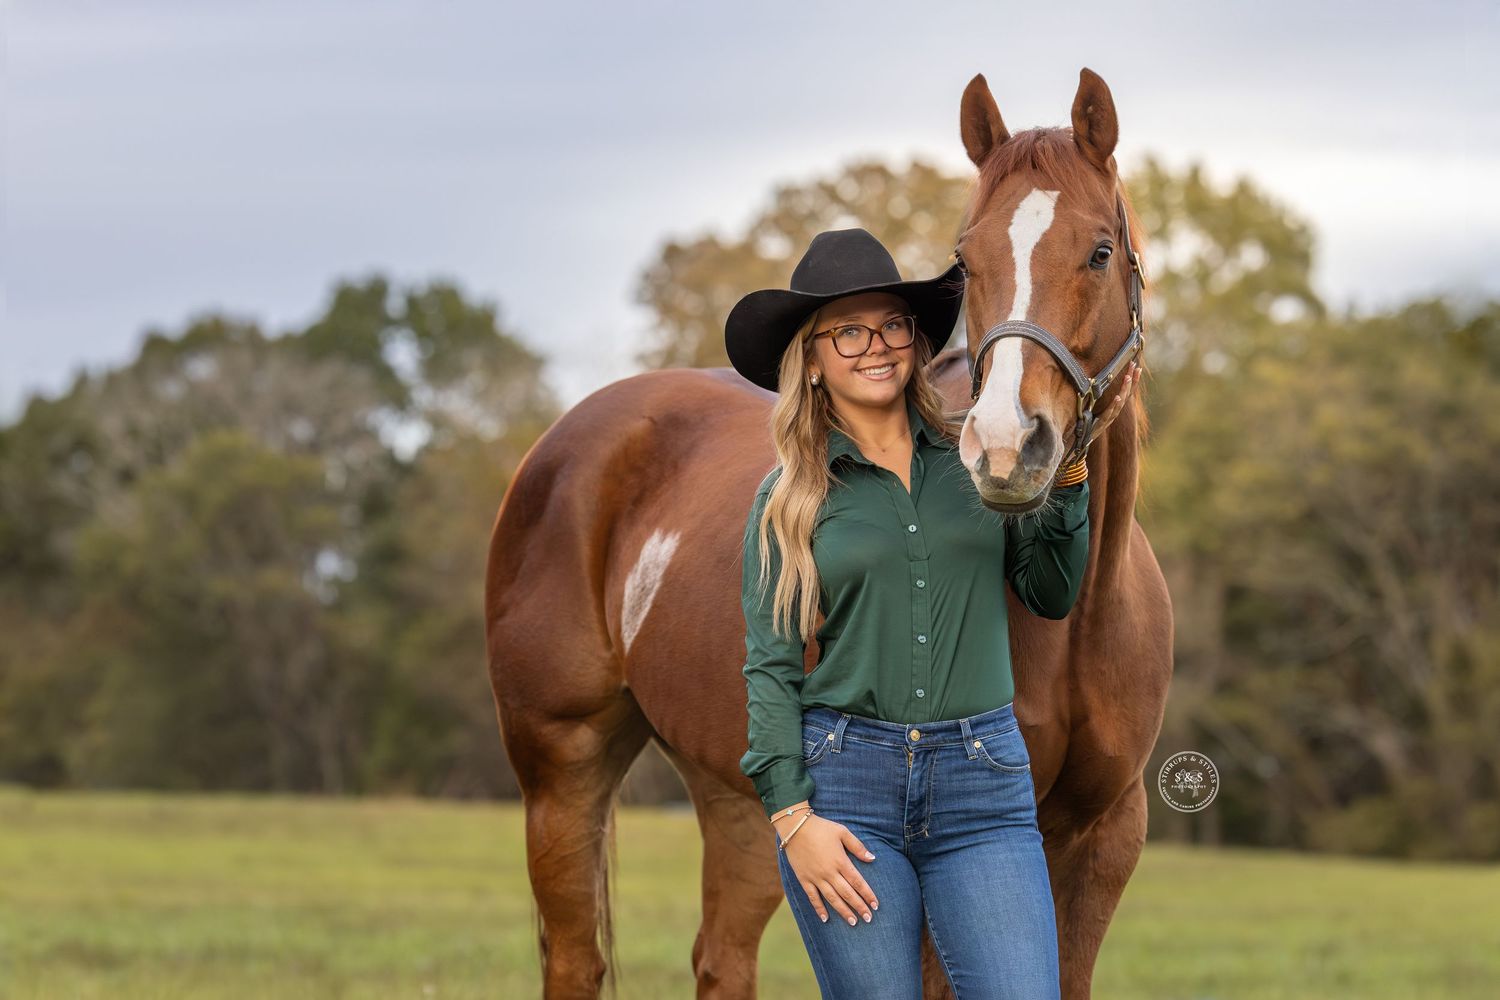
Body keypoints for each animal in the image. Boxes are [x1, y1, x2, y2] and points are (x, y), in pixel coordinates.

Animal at [485, 66, 1173, 999]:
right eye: (967, 260)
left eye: (1100, 251)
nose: (1004, 447)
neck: (1080, 620)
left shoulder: (1105, 839)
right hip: (562, 769)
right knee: (575, 957)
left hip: (743, 801)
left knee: (721, 958)